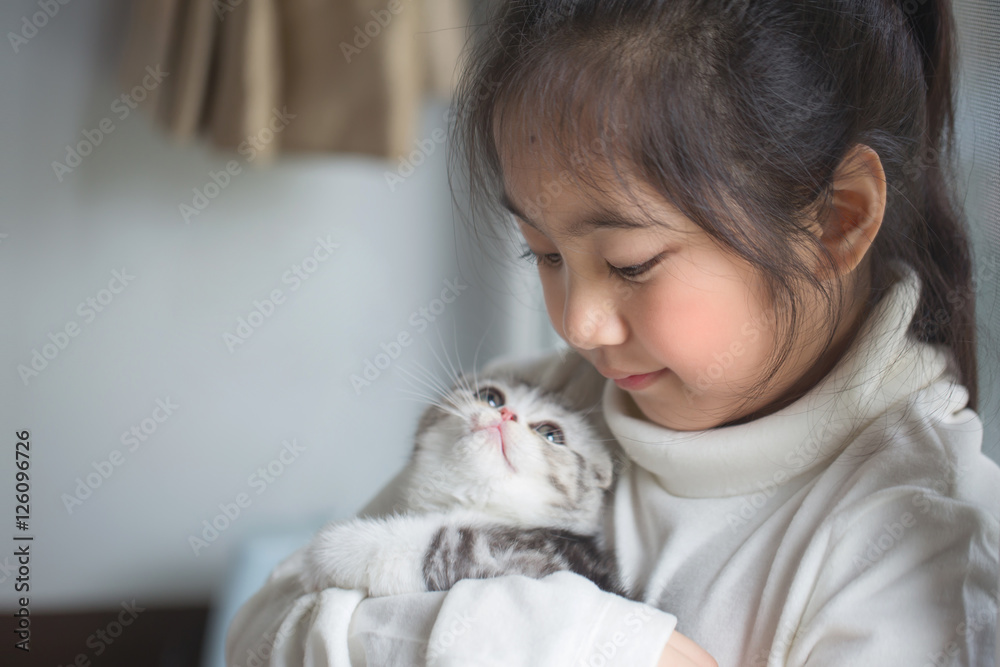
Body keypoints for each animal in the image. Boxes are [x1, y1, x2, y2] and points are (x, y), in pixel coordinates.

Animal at [296, 374, 628, 596]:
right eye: (491, 397)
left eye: (550, 434)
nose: (506, 414)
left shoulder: (544, 563)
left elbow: (447, 544)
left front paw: (336, 546)